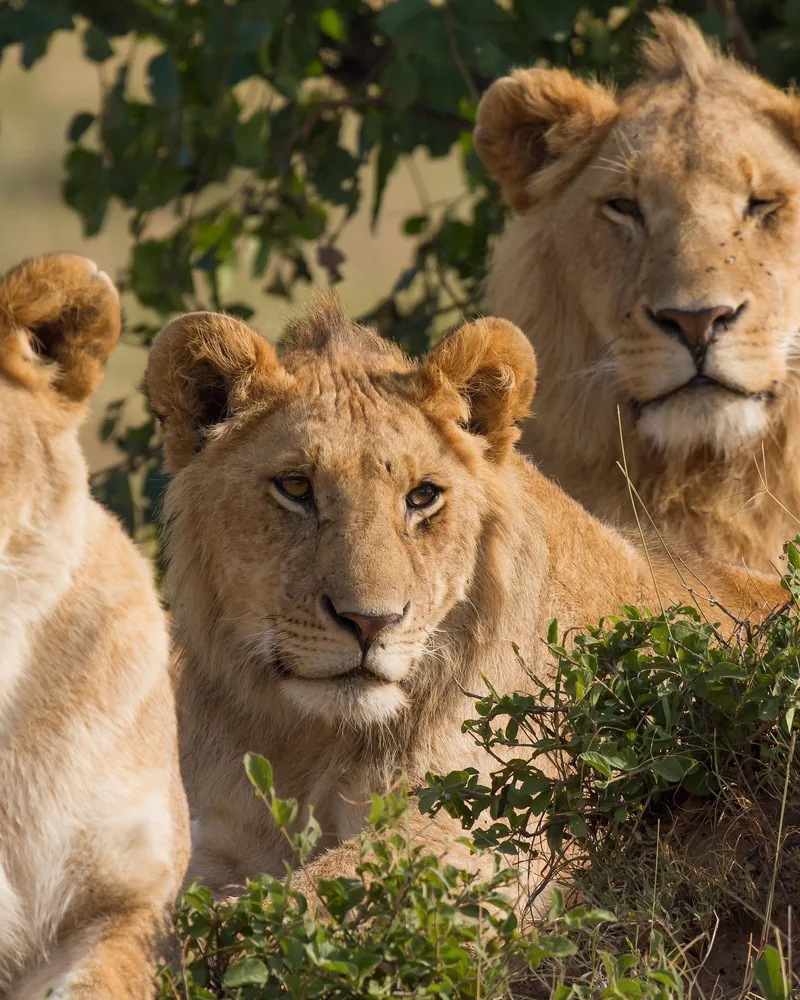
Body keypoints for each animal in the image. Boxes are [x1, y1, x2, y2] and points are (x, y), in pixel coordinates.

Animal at [145, 295, 784, 907]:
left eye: (421, 496)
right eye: (295, 488)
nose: (369, 623)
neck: (311, 742)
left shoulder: (486, 824)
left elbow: (298, 902)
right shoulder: (214, 834)